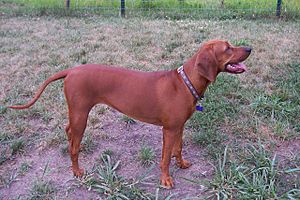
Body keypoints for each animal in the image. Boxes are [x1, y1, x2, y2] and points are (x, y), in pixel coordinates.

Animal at [8, 39, 251, 188]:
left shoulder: (179, 127)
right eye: (228, 48)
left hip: (76, 114)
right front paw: (165, 179)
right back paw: (76, 171)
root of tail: (72, 70)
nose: (249, 48)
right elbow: (165, 158)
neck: (185, 82)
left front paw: (181, 164)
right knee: (74, 147)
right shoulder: (169, 129)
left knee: (68, 131)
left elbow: (178, 149)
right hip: (81, 116)